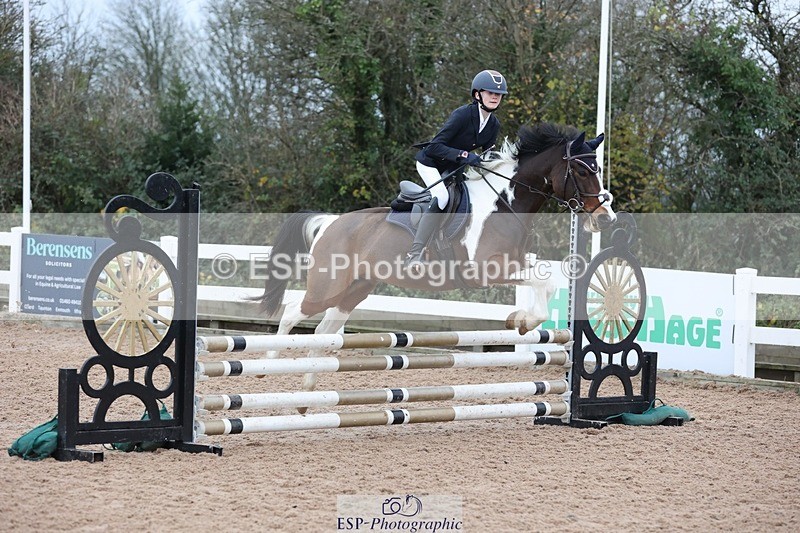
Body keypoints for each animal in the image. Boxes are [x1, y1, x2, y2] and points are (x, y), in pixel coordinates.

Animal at [254, 123, 615, 400]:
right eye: (581, 170)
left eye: (597, 169)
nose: (606, 219)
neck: (504, 204)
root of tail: (330, 222)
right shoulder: (487, 268)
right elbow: (544, 282)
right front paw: (523, 321)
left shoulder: (515, 263)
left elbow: (545, 282)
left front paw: (522, 321)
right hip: (327, 286)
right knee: (293, 312)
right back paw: (267, 365)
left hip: (354, 289)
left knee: (325, 331)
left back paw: (309, 388)